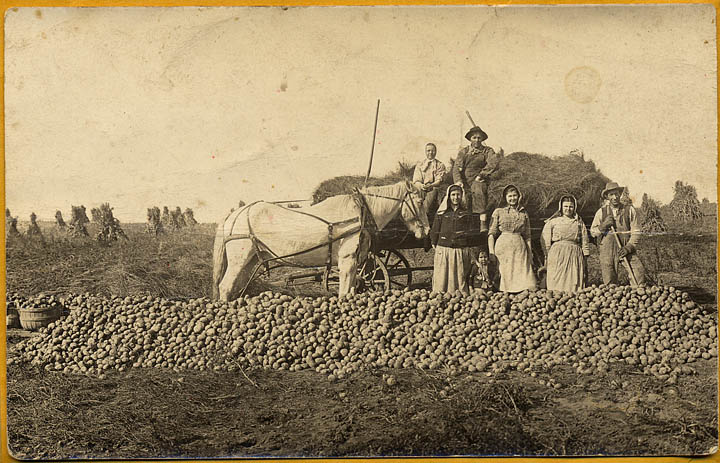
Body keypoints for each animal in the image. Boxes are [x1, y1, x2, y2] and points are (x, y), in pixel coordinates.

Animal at [212, 181, 428, 300]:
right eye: (419, 201)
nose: (426, 230)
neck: (361, 212)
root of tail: (235, 214)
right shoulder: (347, 261)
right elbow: (344, 293)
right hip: (239, 261)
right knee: (225, 287)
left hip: (250, 261)